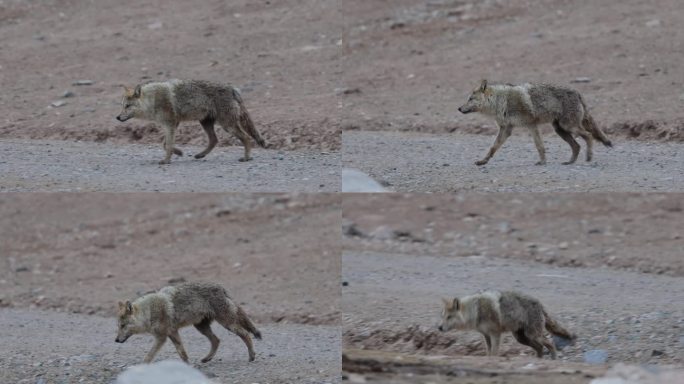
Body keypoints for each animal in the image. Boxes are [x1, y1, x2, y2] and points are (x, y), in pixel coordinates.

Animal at [115, 282, 262, 364]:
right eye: (118, 326)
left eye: (123, 326)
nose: (116, 340)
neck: (149, 311)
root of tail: (221, 287)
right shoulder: (172, 333)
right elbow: (182, 352)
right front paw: (187, 365)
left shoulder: (162, 337)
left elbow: (149, 355)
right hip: (201, 327)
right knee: (216, 340)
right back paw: (206, 359)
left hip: (227, 324)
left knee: (246, 334)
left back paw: (251, 356)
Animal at [116, 80, 266, 164]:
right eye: (122, 105)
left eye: (127, 106)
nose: (117, 117)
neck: (152, 100)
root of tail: (232, 88)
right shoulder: (172, 124)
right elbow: (165, 144)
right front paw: (178, 153)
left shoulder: (170, 124)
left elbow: (167, 145)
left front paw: (166, 160)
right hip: (206, 123)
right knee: (214, 140)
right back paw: (200, 155)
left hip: (227, 125)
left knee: (246, 137)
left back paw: (246, 158)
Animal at [438, 292, 572, 360]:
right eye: (443, 316)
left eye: (449, 317)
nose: (439, 328)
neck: (475, 310)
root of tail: (539, 303)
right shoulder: (486, 335)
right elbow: (489, 352)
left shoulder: (495, 334)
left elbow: (494, 352)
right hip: (522, 338)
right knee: (540, 347)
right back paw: (537, 360)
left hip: (533, 335)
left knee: (550, 344)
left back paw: (553, 360)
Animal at [456, 79, 612, 165]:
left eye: (470, 99)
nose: (459, 108)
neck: (501, 101)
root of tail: (578, 92)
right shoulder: (506, 129)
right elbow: (493, 147)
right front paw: (483, 161)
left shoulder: (531, 125)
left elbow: (539, 145)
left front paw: (542, 162)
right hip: (560, 130)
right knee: (577, 145)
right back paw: (570, 162)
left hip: (569, 127)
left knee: (588, 136)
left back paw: (589, 157)